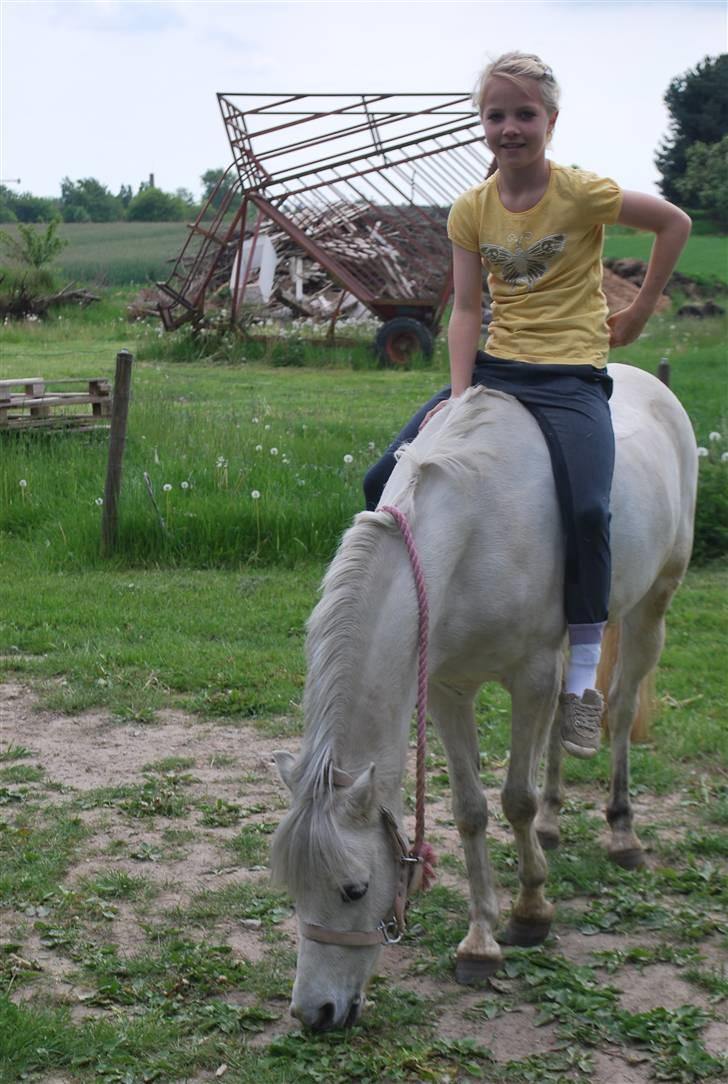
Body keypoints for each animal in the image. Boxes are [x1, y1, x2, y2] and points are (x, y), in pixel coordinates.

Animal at [270, 362, 698, 1032]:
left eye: (354, 889)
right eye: (292, 890)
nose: (316, 1013)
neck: (471, 532)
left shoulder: (530, 675)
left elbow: (514, 799)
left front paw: (529, 913)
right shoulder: (448, 687)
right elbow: (471, 809)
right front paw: (479, 942)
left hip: (653, 604)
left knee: (622, 710)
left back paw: (622, 833)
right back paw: (554, 825)